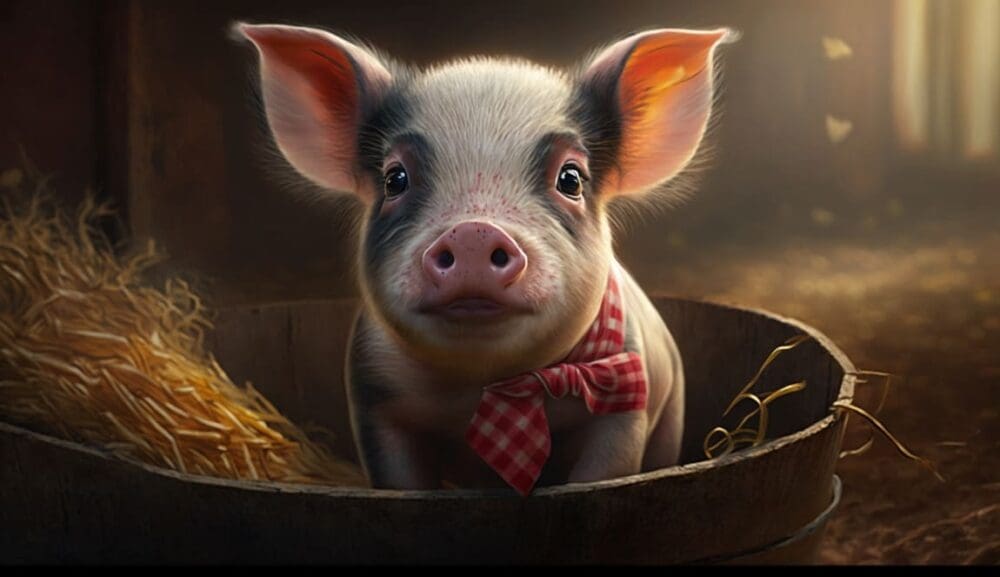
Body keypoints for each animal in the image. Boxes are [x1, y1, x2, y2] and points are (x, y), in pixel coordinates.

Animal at [236, 22, 732, 493]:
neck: (483, 385)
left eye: (571, 178)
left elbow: (603, 472)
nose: (474, 231)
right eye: (395, 179)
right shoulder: (374, 397)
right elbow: (401, 478)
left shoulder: (627, 398)